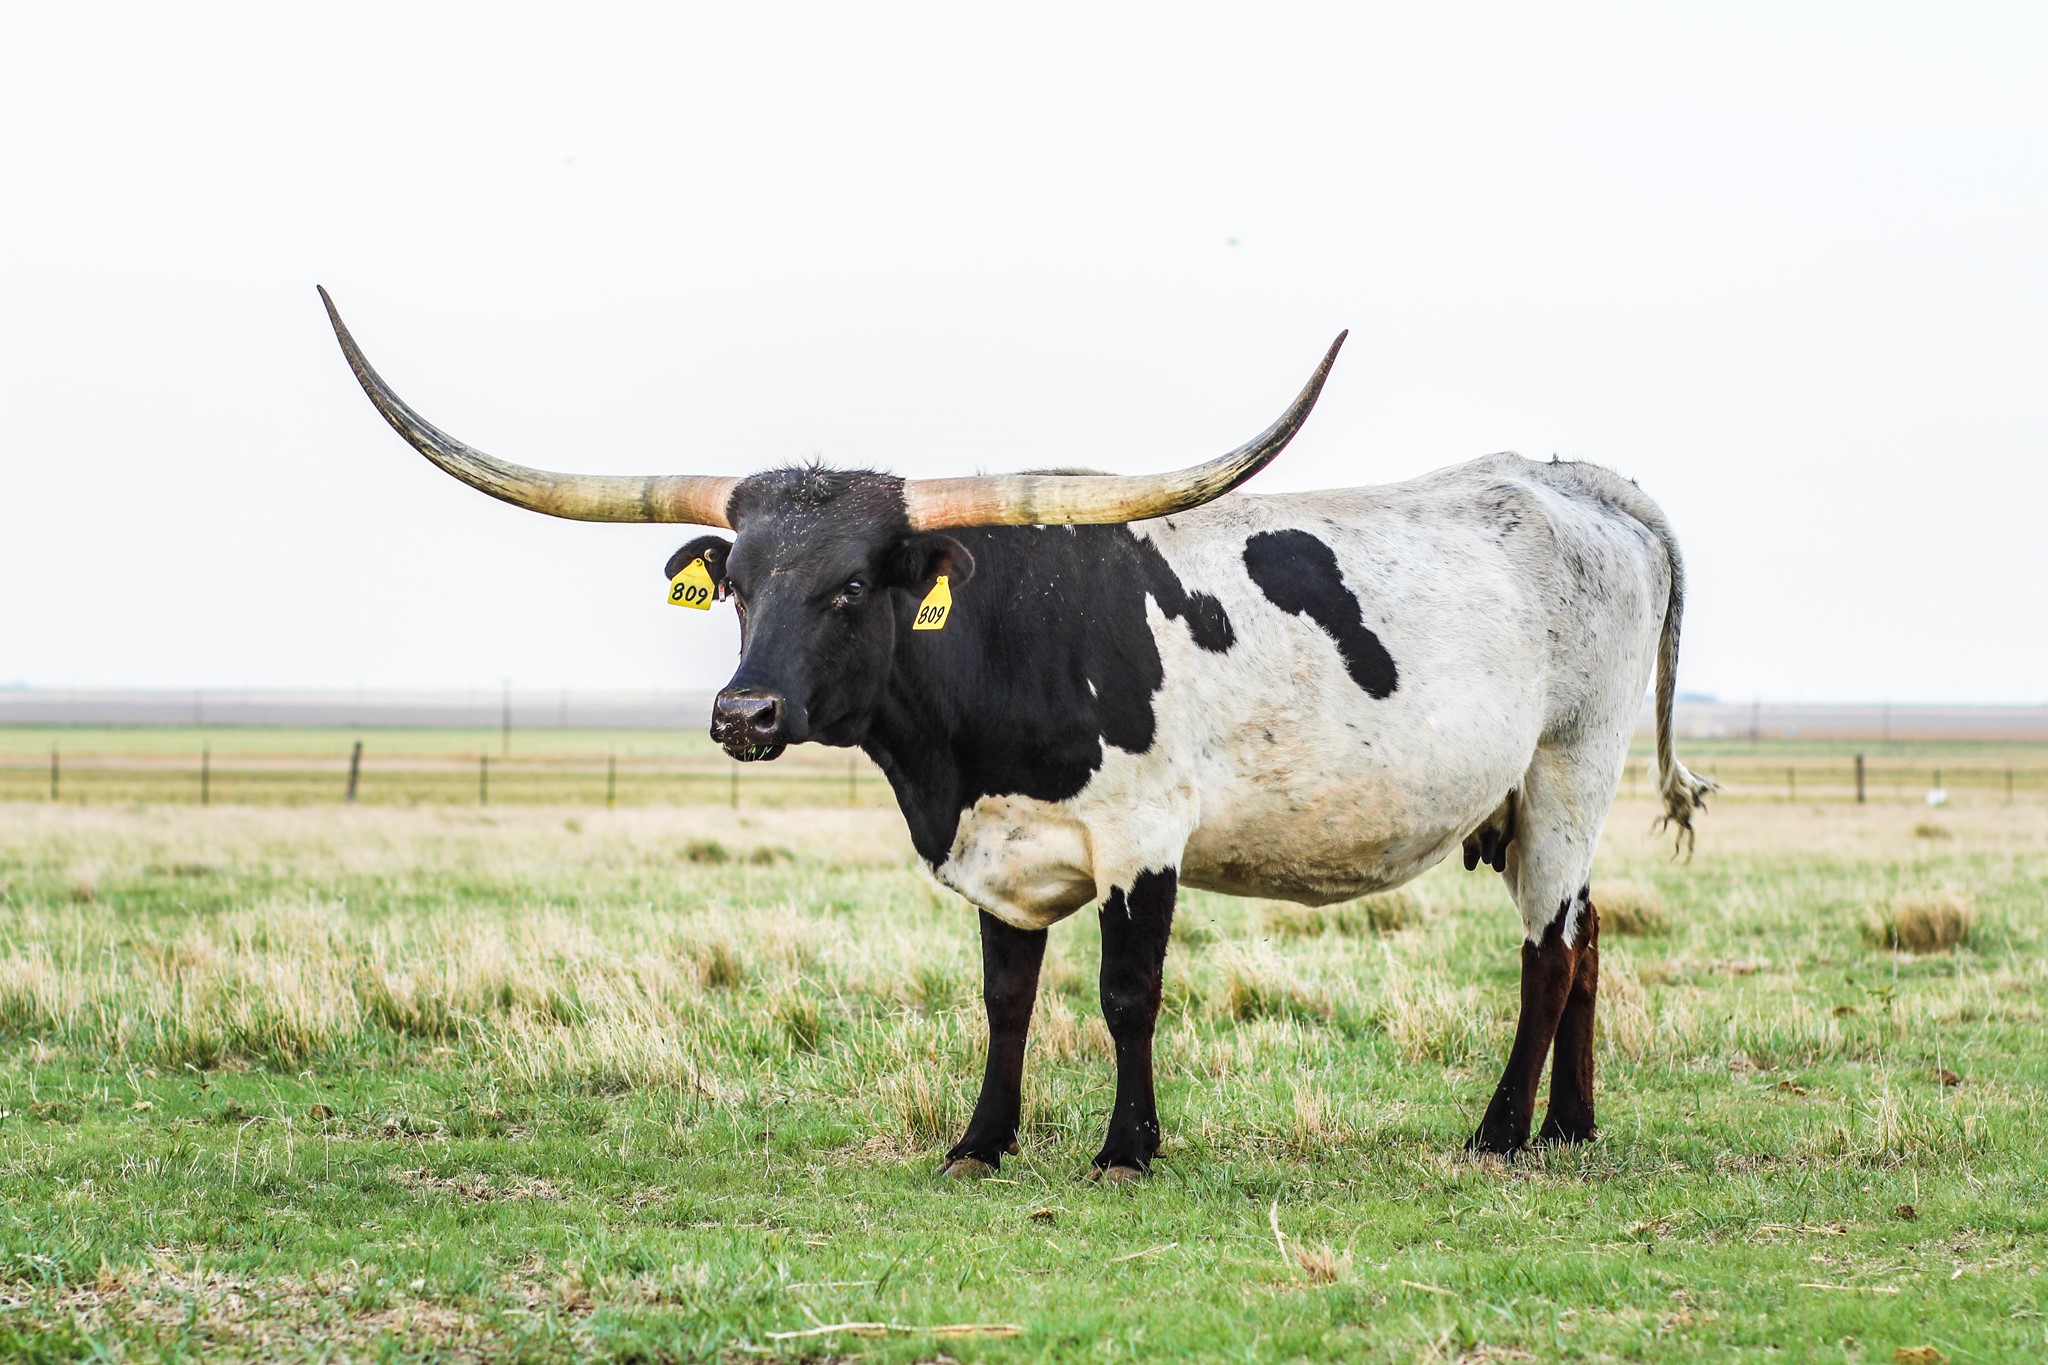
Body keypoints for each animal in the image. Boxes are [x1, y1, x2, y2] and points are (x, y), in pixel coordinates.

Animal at [319, 287, 1713, 1179]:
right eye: (741, 585)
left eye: (850, 586)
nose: (744, 714)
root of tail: (1576, 483)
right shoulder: (997, 849)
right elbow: (1004, 998)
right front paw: (978, 1143)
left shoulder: (1143, 840)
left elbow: (1125, 995)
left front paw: (1126, 1150)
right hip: (1531, 806)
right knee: (1589, 936)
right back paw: (1570, 1128)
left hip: (1569, 769)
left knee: (1546, 952)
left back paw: (1498, 1132)